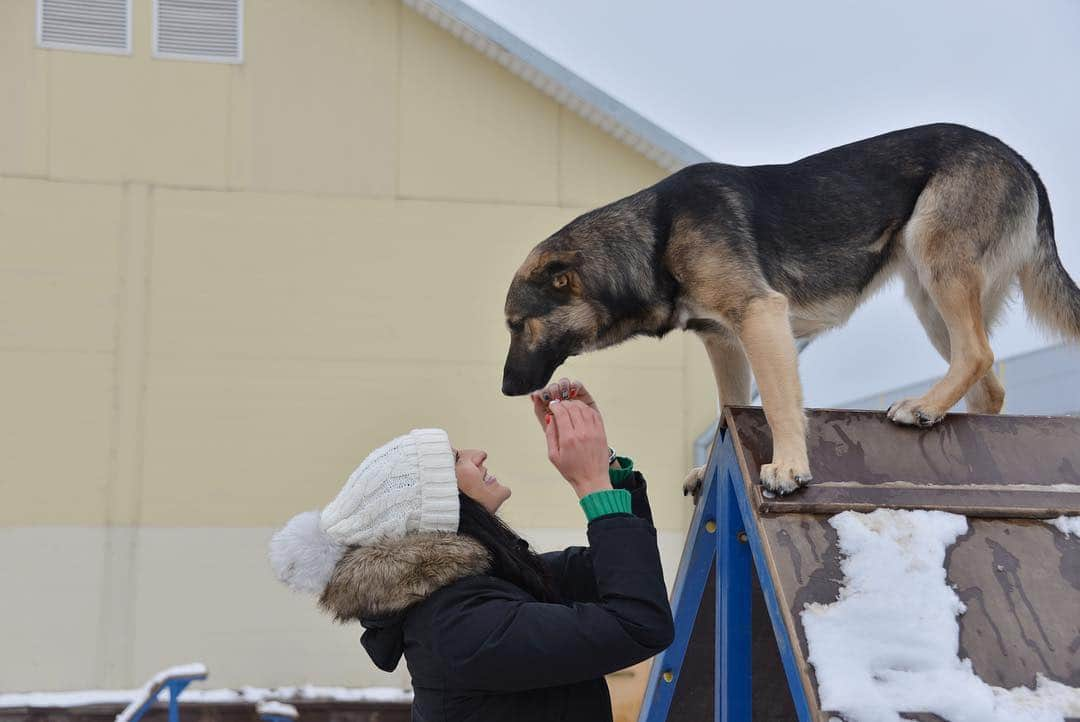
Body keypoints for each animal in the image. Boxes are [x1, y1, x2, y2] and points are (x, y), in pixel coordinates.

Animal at [498, 124, 1080, 496]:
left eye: (518, 325)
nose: (504, 389)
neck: (656, 237)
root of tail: (1020, 162)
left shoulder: (759, 316)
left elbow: (778, 402)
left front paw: (789, 467)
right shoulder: (723, 338)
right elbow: (729, 410)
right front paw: (715, 469)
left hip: (937, 263)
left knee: (978, 353)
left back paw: (922, 406)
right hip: (928, 295)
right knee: (987, 381)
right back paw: (944, 416)